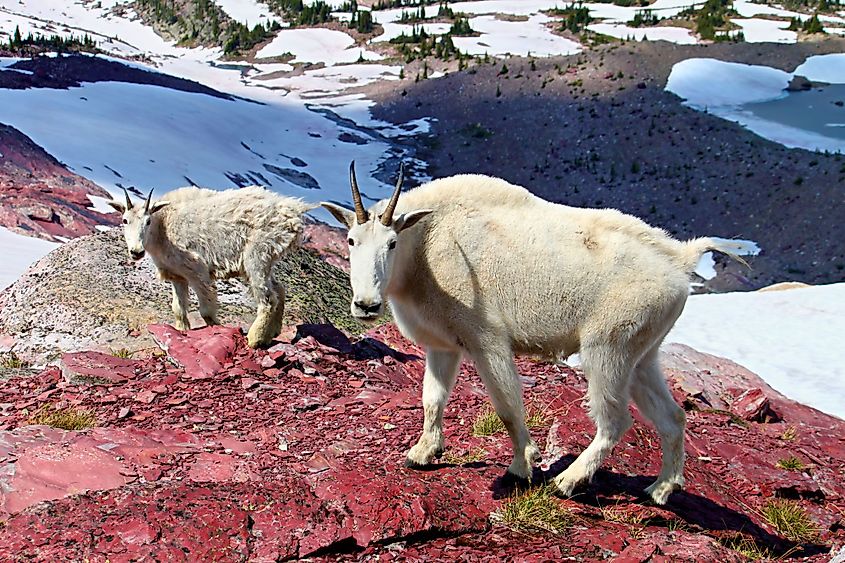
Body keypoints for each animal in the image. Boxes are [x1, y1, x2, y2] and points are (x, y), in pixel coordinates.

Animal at [109, 187, 310, 348]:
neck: (163, 227)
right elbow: (178, 309)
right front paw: (182, 330)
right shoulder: (177, 275)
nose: (136, 252)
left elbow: (206, 310)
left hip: (257, 254)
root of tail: (294, 211)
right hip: (263, 260)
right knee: (279, 289)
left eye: (148, 221)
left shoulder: (197, 270)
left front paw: (217, 330)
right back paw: (273, 332)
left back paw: (255, 339)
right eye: (125, 220)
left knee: (268, 299)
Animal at [322, 163, 744, 506]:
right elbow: (432, 399)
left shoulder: (486, 338)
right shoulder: (443, 344)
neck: (425, 245)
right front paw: (423, 453)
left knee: (615, 420)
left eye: (391, 243)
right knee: (672, 416)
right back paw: (660, 489)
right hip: (644, 351)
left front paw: (522, 465)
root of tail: (681, 261)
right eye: (351, 240)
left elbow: (507, 405)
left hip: (609, 345)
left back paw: (568, 480)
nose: (366, 305)